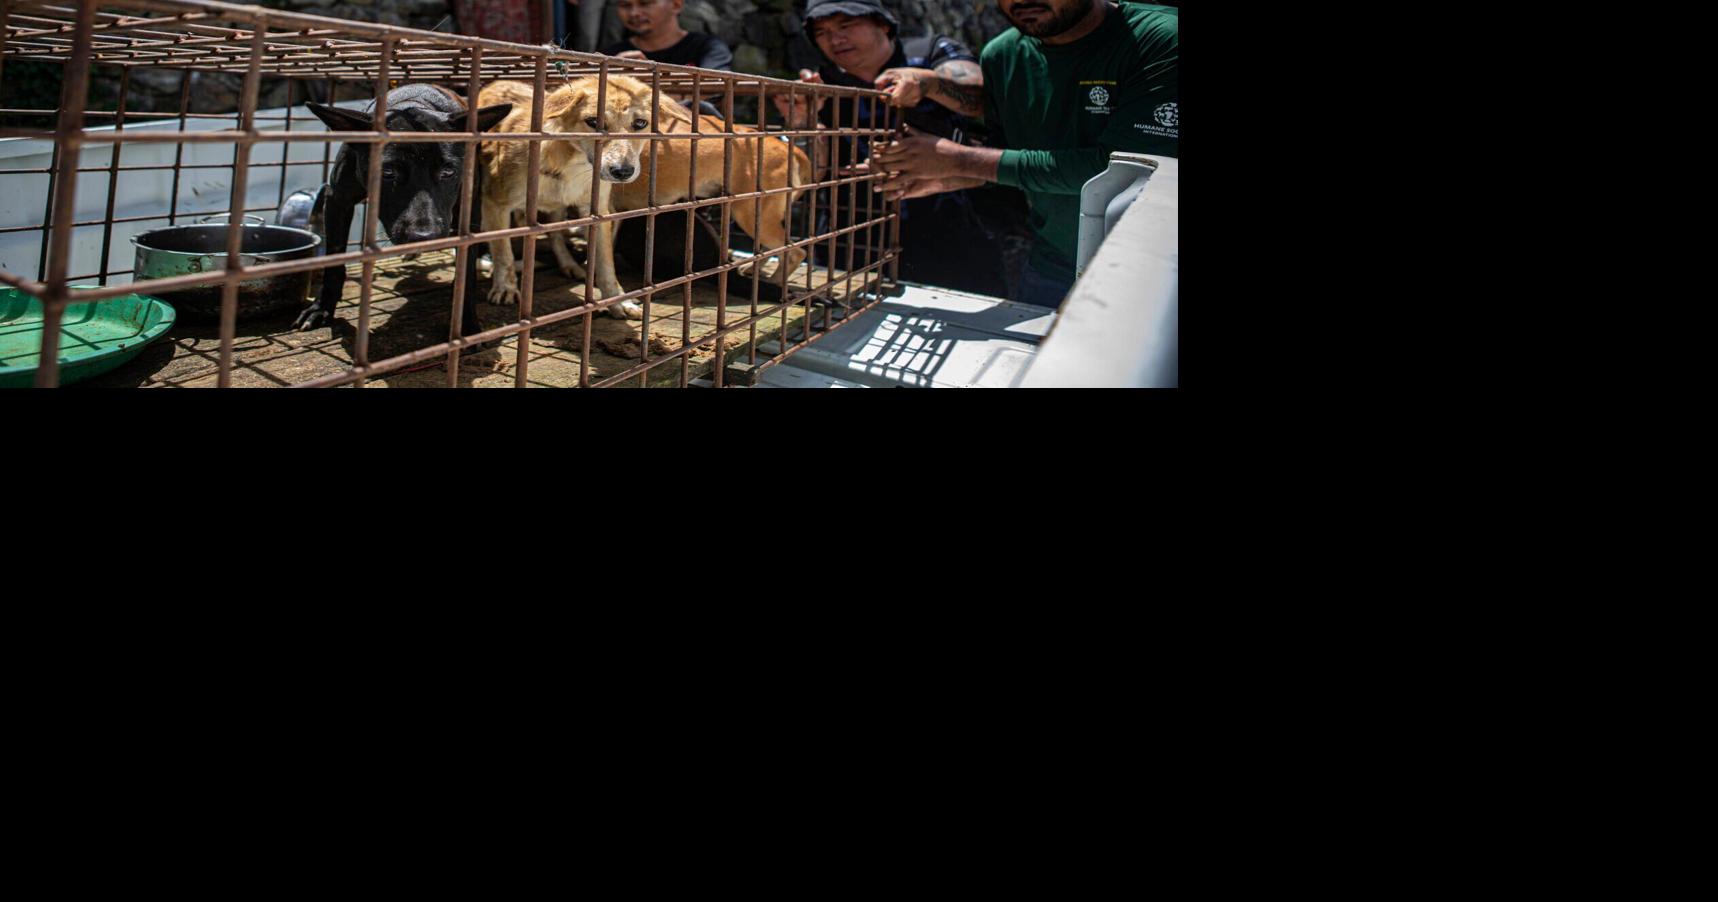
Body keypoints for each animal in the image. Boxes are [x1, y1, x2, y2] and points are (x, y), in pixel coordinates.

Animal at [298, 83, 508, 336]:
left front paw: (465, 326)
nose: (424, 237)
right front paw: (321, 308)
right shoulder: (337, 200)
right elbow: (334, 259)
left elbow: (465, 272)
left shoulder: (468, 210)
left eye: (448, 171)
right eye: (387, 173)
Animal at [477, 75, 690, 317]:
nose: (622, 172)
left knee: (555, 235)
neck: (572, 164)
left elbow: (606, 264)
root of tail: (497, 82)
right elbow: (503, 253)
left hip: (556, 209)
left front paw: (617, 300)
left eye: (640, 123)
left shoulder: (597, 212)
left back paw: (568, 265)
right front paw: (505, 287)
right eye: (593, 122)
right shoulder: (495, 203)